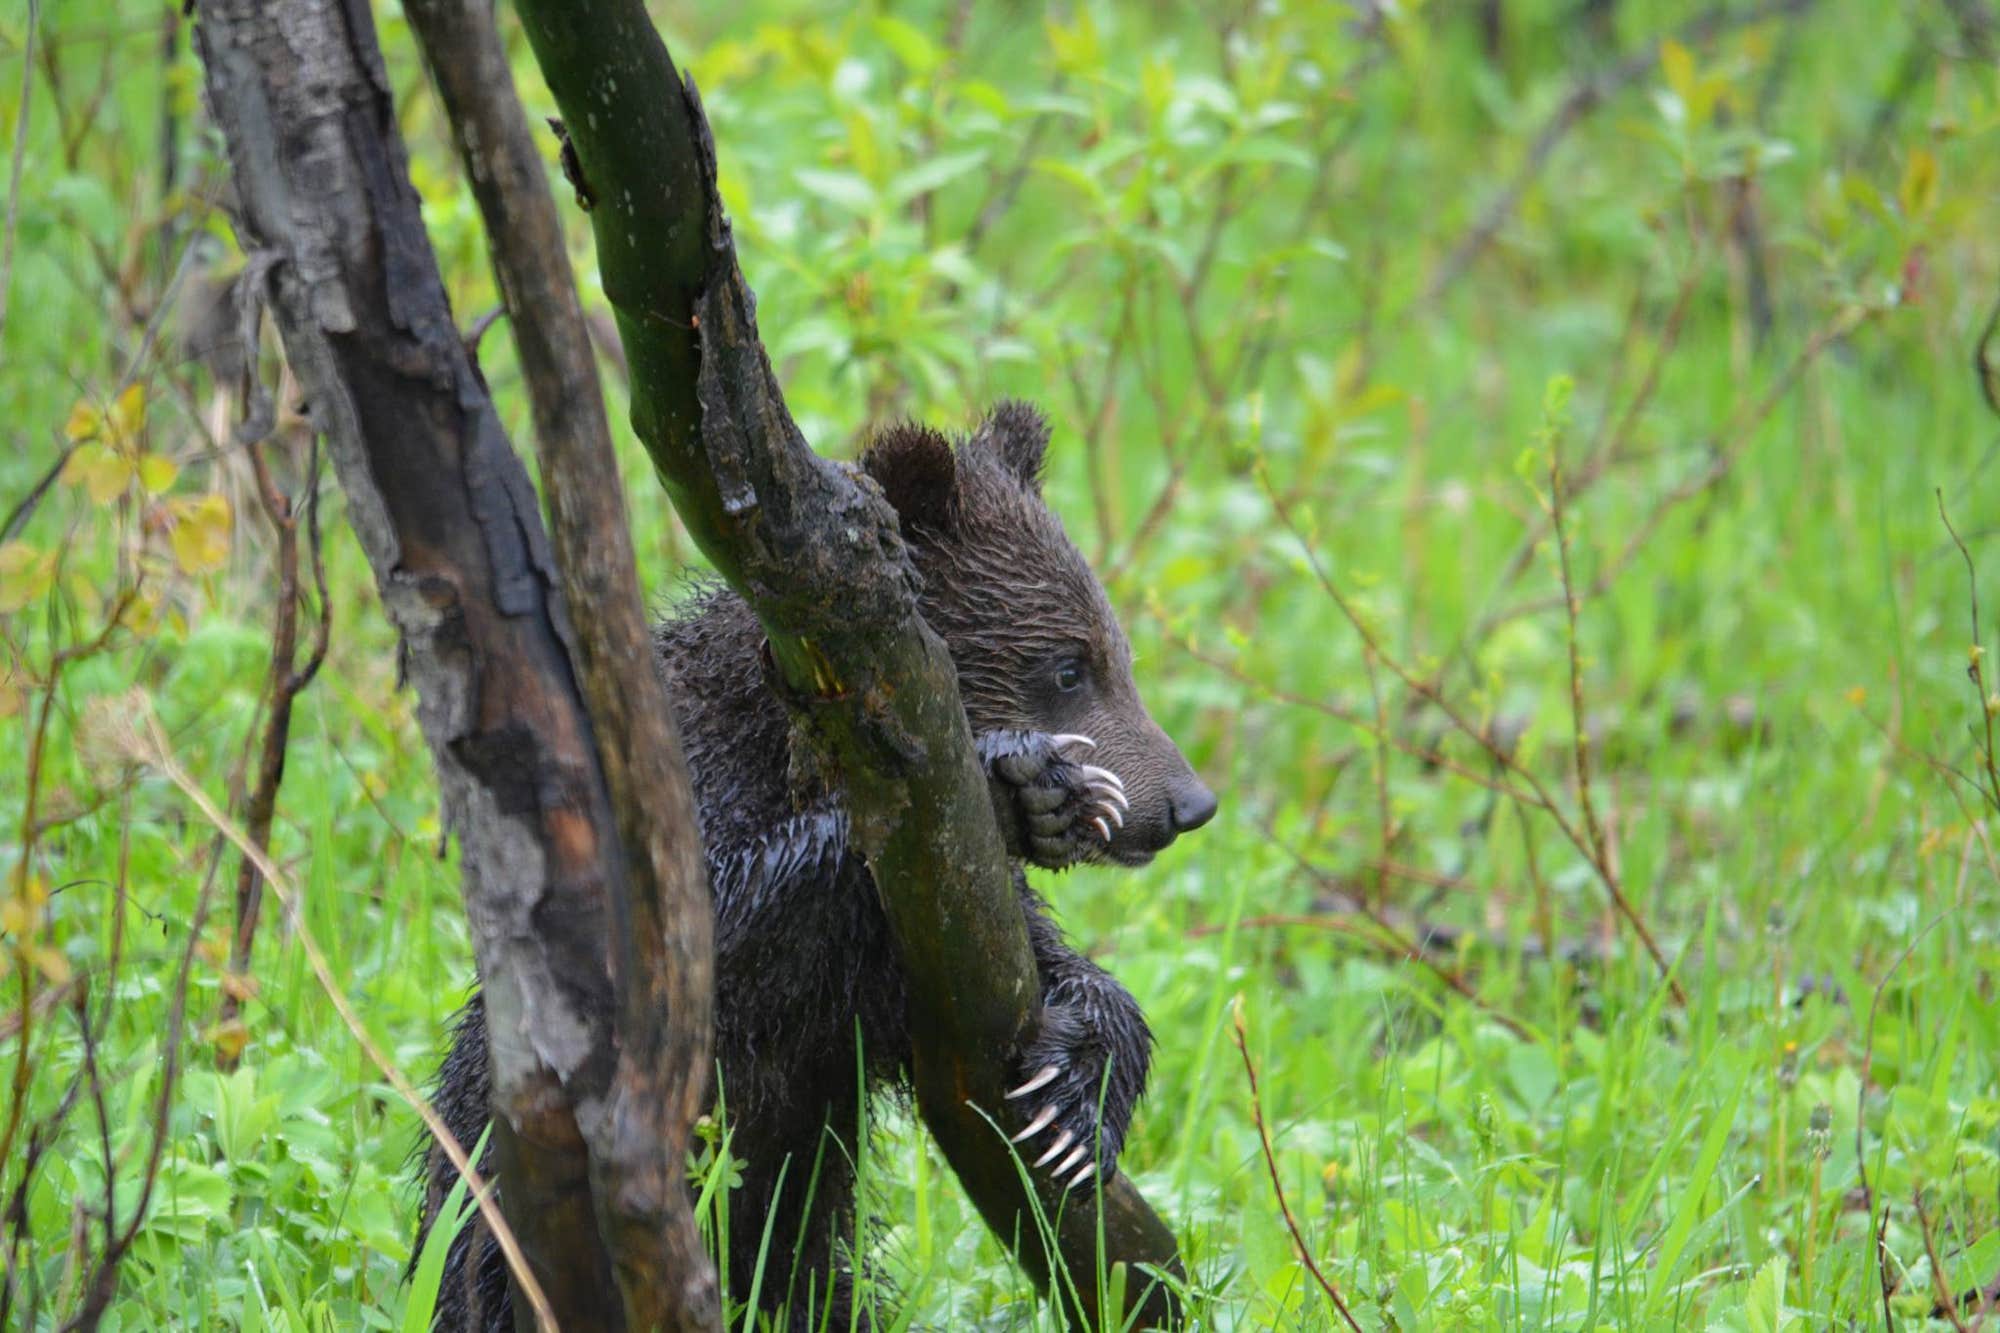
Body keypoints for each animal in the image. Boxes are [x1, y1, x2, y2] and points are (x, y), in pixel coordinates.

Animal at [418, 400, 1217, 1330]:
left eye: (1116, 654)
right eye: (1067, 665)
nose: (1187, 803)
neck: (793, 750)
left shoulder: (926, 946)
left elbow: (1036, 976)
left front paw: (1076, 1096)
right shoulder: (684, 799)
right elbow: (699, 928)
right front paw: (1020, 781)